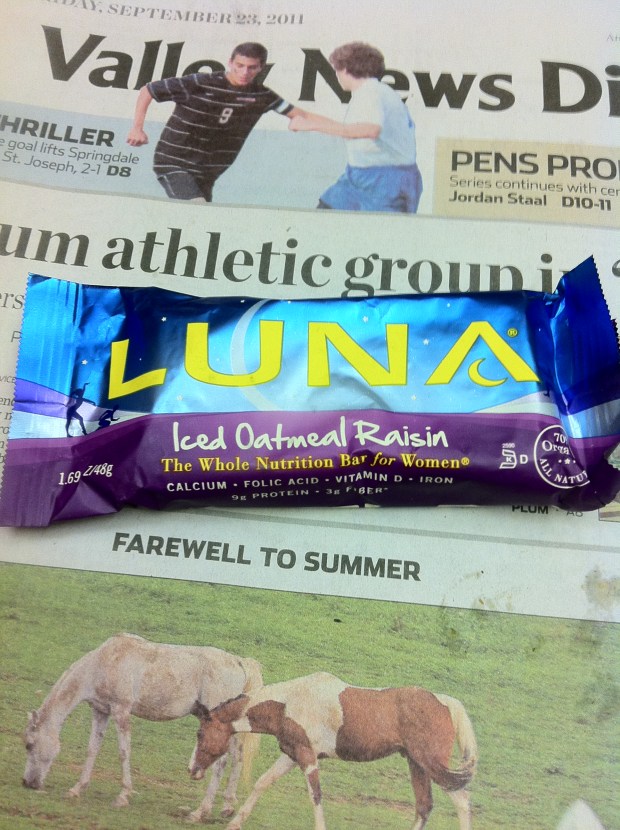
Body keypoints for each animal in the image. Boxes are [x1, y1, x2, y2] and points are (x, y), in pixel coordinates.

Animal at [22, 633, 263, 822]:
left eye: (29, 745)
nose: (27, 783)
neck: (105, 662)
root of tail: (239, 662)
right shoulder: (101, 712)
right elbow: (92, 749)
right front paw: (76, 789)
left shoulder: (121, 711)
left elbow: (124, 752)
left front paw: (123, 796)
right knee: (237, 756)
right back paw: (227, 806)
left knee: (221, 762)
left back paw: (199, 812)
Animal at [191, 671, 478, 830]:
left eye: (200, 733)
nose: (192, 770)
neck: (289, 703)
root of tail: (446, 702)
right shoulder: (292, 755)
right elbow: (262, 782)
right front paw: (234, 823)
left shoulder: (307, 758)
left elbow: (315, 795)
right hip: (417, 765)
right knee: (424, 806)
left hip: (432, 765)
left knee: (462, 800)